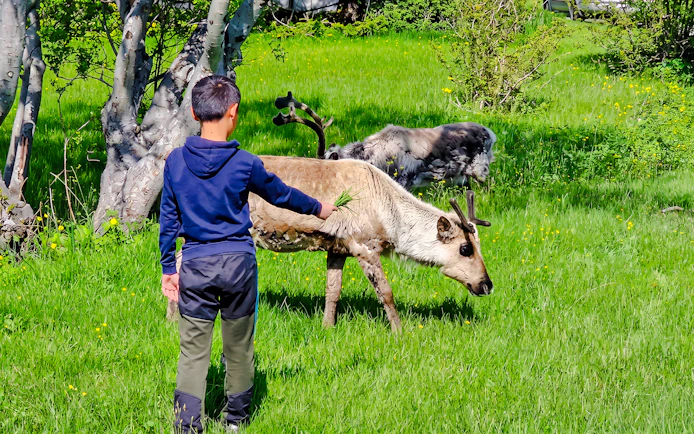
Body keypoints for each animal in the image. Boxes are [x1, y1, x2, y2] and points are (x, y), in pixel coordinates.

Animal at [167, 157, 492, 333]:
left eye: (478, 245)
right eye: (465, 249)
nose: (487, 285)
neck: (391, 218)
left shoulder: (337, 249)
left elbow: (332, 292)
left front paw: (327, 327)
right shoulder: (363, 244)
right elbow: (386, 293)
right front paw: (401, 332)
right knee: (178, 262)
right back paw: (172, 318)